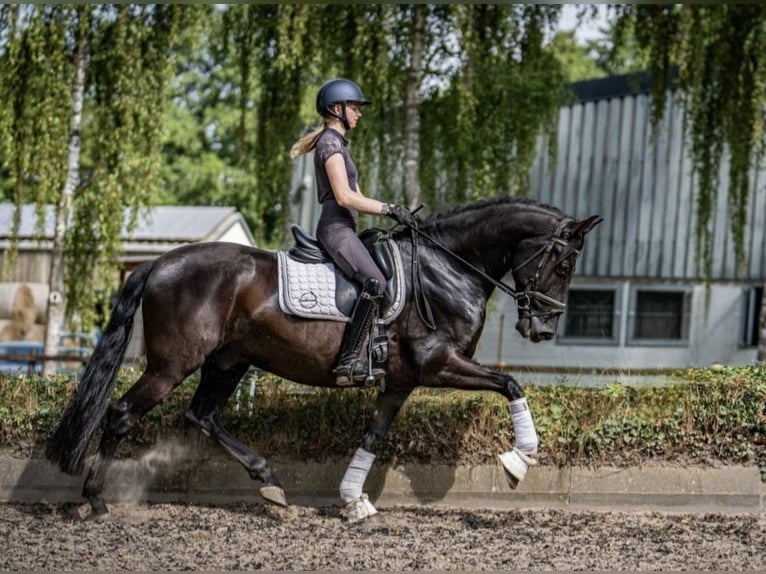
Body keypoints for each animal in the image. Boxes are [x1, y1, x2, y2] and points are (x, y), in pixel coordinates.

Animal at [45, 197, 604, 520]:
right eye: (563, 263)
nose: (542, 329)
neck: (447, 268)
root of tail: (159, 262)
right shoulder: (437, 363)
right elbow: (511, 385)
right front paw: (518, 461)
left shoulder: (401, 380)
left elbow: (374, 435)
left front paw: (354, 499)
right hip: (171, 366)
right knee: (122, 414)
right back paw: (95, 500)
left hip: (229, 361)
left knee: (202, 415)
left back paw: (270, 485)